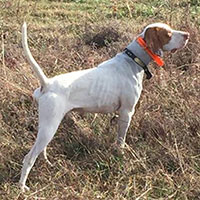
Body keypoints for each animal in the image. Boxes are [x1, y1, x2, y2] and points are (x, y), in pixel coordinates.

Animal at [18, 21, 189, 192]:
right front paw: (120, 156)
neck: (133, 61)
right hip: (49, 127)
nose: (187, 35)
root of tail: (46, 84)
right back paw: (22, 186)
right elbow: (121, 140)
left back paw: (48, 164)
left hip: (48, 126)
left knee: (41, 150)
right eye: (168, 34)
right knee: (28, 158)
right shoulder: (126, 112)